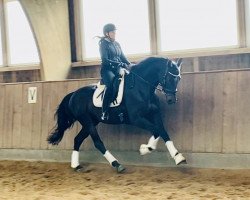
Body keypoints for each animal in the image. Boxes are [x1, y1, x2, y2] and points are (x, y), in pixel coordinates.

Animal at [47, 57, 187, 173]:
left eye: (179, 78)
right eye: (169, 77)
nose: (171, 100)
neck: (141, 88)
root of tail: (74, 94)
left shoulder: (155, 114)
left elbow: (162, 131)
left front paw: (177, 157)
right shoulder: (136, 119)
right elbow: (157, 130)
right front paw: (146, 148)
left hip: (91, 122)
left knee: (77, 139)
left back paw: (76, 166)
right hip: (87, 121)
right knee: (98, 143)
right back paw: (116, 164)